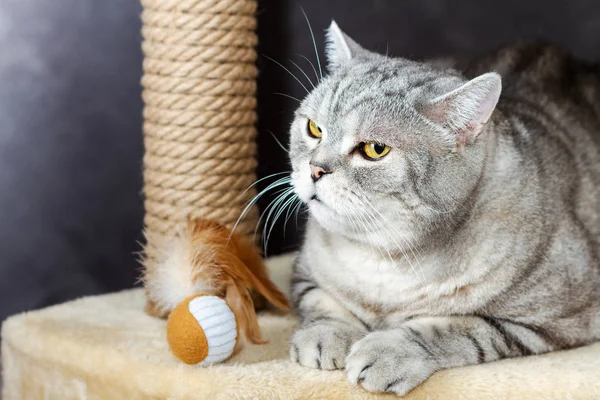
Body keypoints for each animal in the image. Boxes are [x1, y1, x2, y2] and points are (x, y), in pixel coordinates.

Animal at [288, 21, 596, 394]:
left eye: (375, 149)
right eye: (314, 128)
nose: (315, 169)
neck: (384, 261)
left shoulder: (556, 320)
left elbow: (458, 328)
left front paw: (389, 351)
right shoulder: (303, 272)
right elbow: (323, 301)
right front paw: (326, 334)